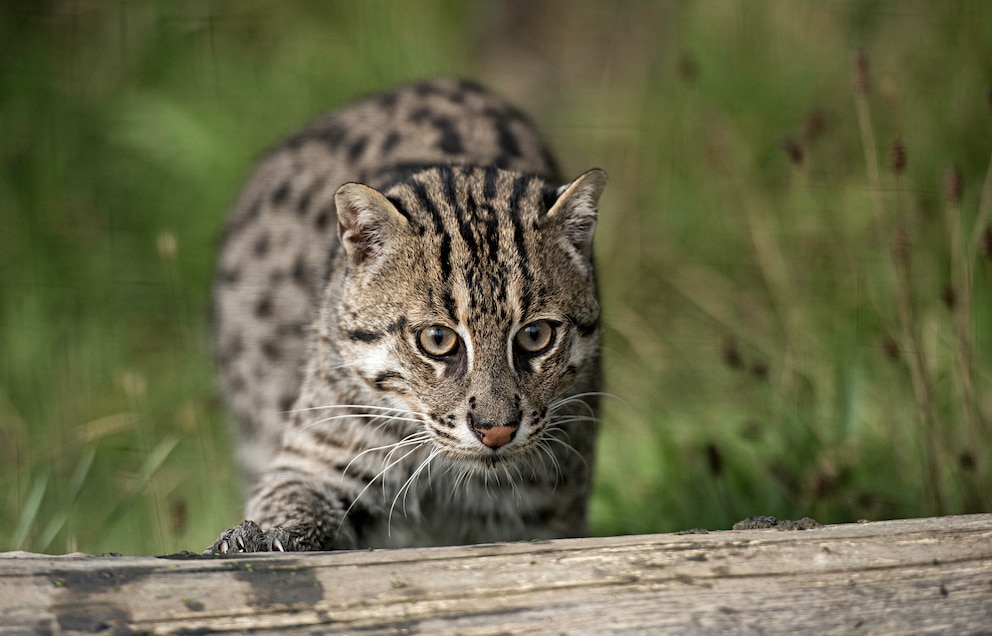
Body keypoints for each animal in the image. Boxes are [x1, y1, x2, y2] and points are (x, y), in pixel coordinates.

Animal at [209, 79, 604, 552]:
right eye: (436, 340)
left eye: (535, 336)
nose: (496, 431)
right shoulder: (316, 455)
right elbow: (290, 498)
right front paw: (262, 538)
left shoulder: (550, 508)